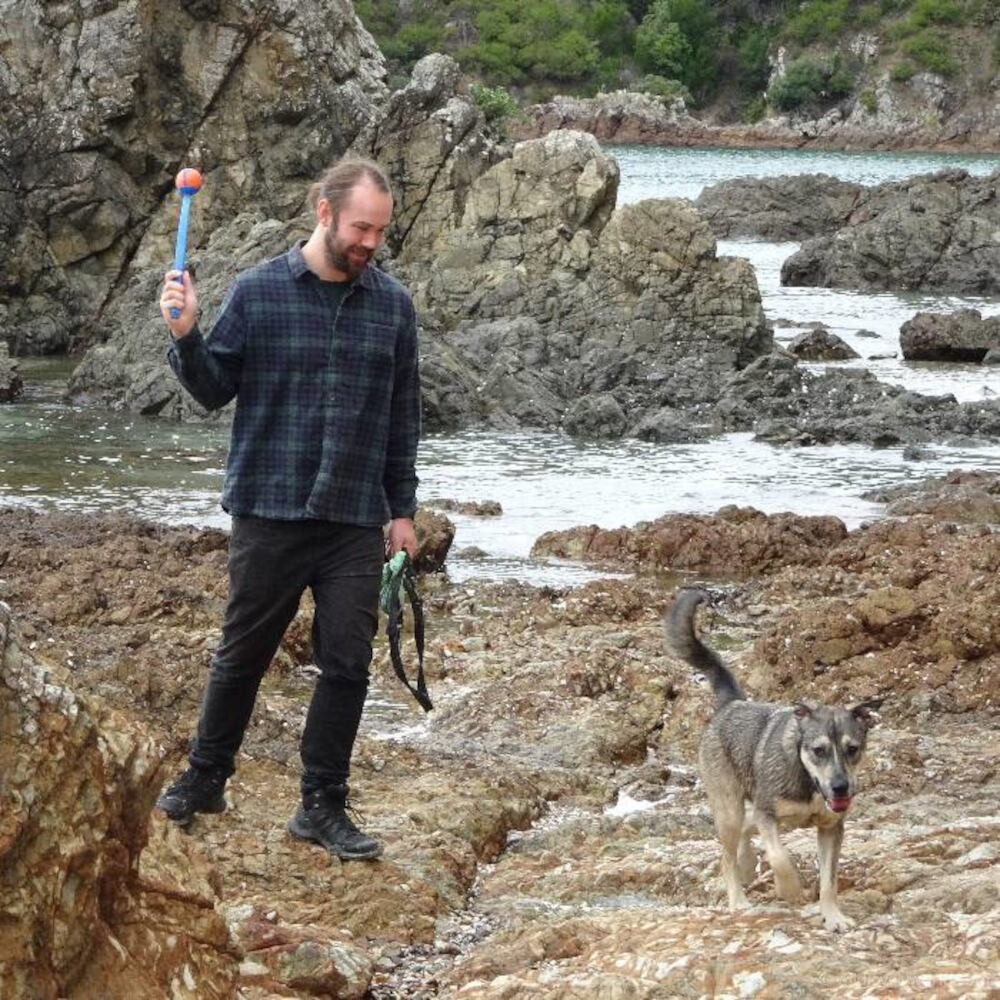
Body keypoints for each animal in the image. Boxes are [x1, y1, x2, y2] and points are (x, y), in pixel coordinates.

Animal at [668, 584, 880, 928]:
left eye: (853, 749)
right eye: (818, 750)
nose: (840, 788)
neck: (808, 779)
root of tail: (732, 704)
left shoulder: (831, 828)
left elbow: (829, 881)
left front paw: (833, 916)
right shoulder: (767, 813)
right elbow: (780, 857)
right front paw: (789, 888)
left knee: (744, 834)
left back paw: (746, 862)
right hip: (729, 806)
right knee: (727, 853)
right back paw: (738, 899)